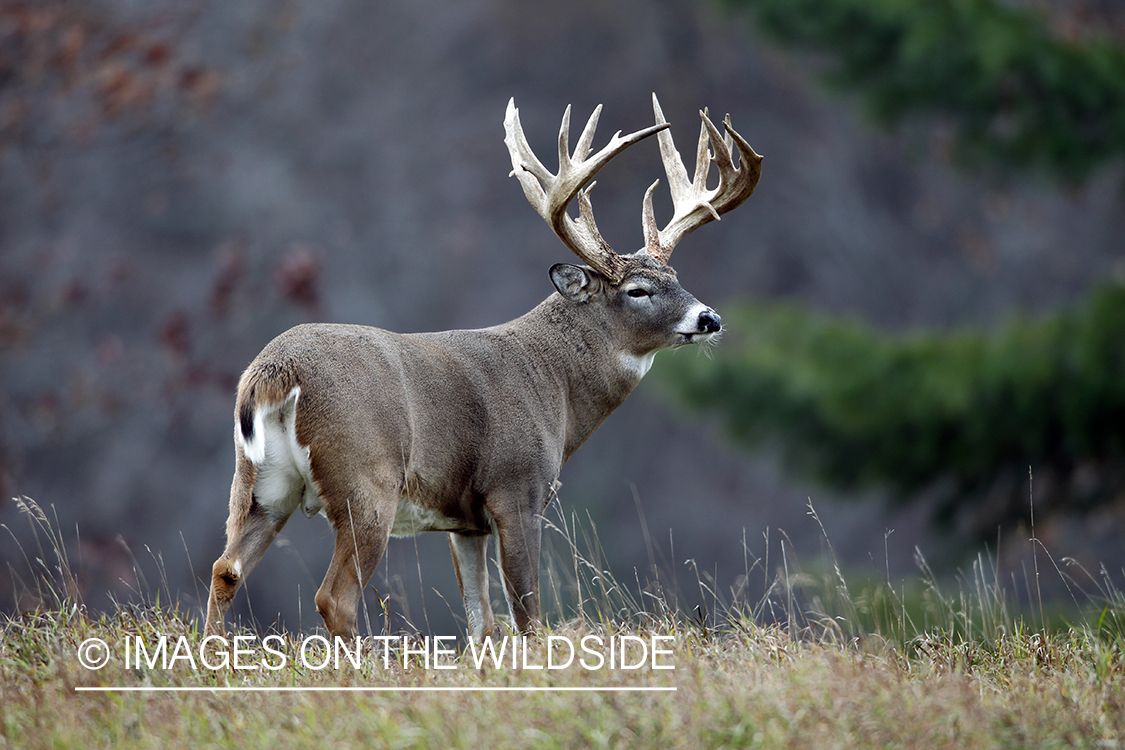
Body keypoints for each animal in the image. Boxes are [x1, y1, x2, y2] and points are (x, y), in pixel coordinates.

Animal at [205, 93, 760, 638]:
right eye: (637, 290)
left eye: (675, 275)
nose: (709, 318)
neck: (553, 386)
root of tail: (276, 369)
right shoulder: (516, 489)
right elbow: (527, 613)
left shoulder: (464, 520)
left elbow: (482, 621)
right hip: (366, 480)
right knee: (333, 597)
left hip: (258, 484)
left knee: (225, 568)